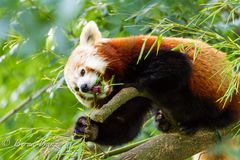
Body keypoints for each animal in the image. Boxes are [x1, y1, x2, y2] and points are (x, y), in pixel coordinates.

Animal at [63, 21, 240, 145]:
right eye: (77, 90)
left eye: (82, 71)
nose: (84, 87)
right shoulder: (132, 100)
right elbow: (126, 124)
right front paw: (88, 129)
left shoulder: (141, 49)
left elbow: (177, 65)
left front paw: (138, 81)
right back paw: (163, 121)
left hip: (219, 92)